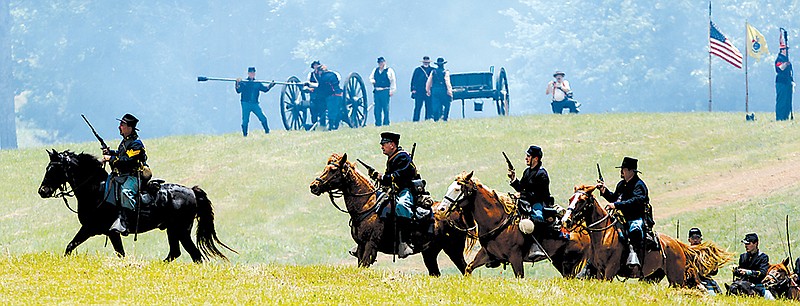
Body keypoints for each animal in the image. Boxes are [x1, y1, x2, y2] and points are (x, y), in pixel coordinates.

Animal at [37, 149, 236, 262]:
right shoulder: (102, 231)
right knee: (177, 253)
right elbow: (72, 247)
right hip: (173, 230)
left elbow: (72, 246)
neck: (95, 190)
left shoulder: (95, 229)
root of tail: (192, 191)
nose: (42, 191)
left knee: (195, 255)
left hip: (180, 230)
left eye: (53, 169)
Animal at [306, 154, 468, 276]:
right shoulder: (361, 246)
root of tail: (456, 212)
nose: (314, 186)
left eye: (333, 170)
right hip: (430, 253)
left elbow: (364, 265)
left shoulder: (371, 245)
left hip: (453, 249)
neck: (367, 206)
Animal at [432, 171, 592, 278]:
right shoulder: (487, 254)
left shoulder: (515, 257)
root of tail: (584, 230)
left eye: (457, 189)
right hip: (560, 261)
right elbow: (468, 269)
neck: (497, 221)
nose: (441, 209)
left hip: (571, 262)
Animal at [560, 184, 728, 286]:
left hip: (677, 278)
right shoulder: (599, 271)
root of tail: (677, 244)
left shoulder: (610, 270)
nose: (565, 220)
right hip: (654, 277)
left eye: (582, 200)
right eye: (571, 199)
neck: (604, 234)